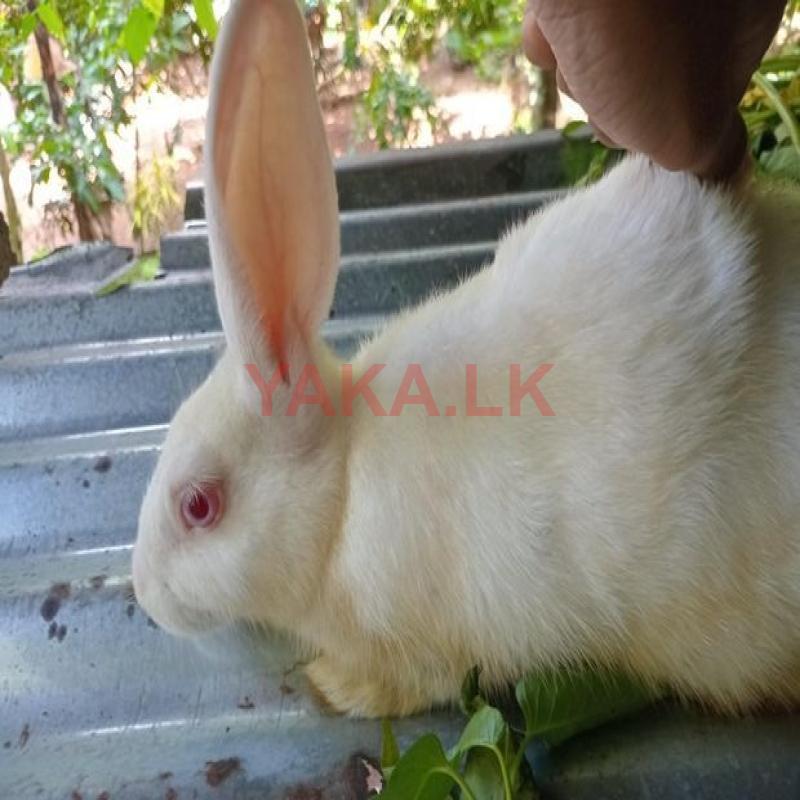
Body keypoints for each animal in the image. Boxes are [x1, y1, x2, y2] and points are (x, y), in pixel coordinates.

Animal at [132, 0, 800, 718]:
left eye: (199, 506)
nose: (145, 594)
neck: (342, 496)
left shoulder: (427, 646)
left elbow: (414, 682)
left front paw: (333, 684)